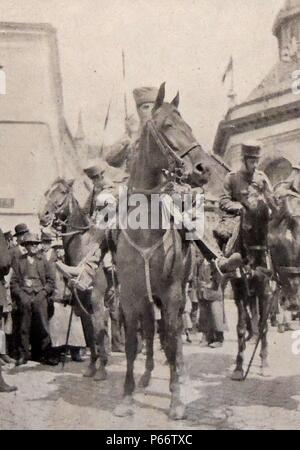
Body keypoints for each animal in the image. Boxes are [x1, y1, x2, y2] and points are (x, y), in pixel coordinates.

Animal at [39, 178, 110, 380]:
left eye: (63, 192)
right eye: (47, 192)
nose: (43, 215)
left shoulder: (97, 303)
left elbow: (99, 333)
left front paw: (102, 370)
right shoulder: (81, 305)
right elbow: (89, 334)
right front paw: (92, 367)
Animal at [113, 81, 210, 422]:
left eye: (189, 126)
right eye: (168, 125)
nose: (203, 169)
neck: (145, 231)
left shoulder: (172, 295)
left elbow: (172, 339)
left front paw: (176, 398)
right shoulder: (130, 297)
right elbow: (132, 344)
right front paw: (127, 396)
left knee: (172, 337)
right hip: (146, 299)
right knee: (150, 332)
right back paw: (146, 375)